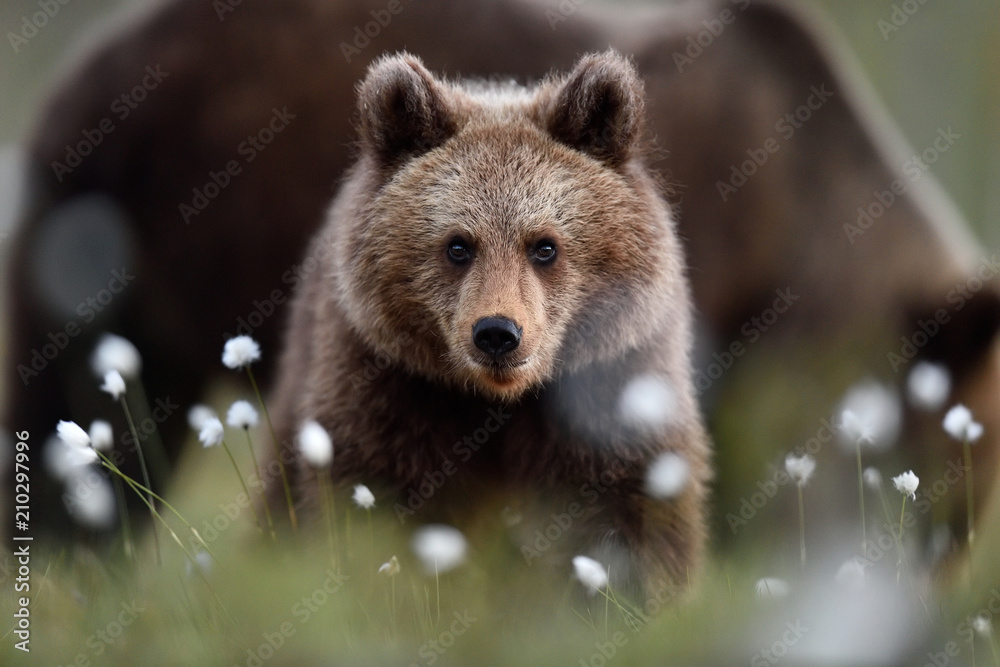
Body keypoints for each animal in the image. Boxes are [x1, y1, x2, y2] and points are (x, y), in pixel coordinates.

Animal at [267, 50, 712, 595]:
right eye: (458, 245)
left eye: (545, 245)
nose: (498, 333)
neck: (500, 403)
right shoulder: (391, 384)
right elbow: (374, 494)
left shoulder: (612, 380)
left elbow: (630, 512)